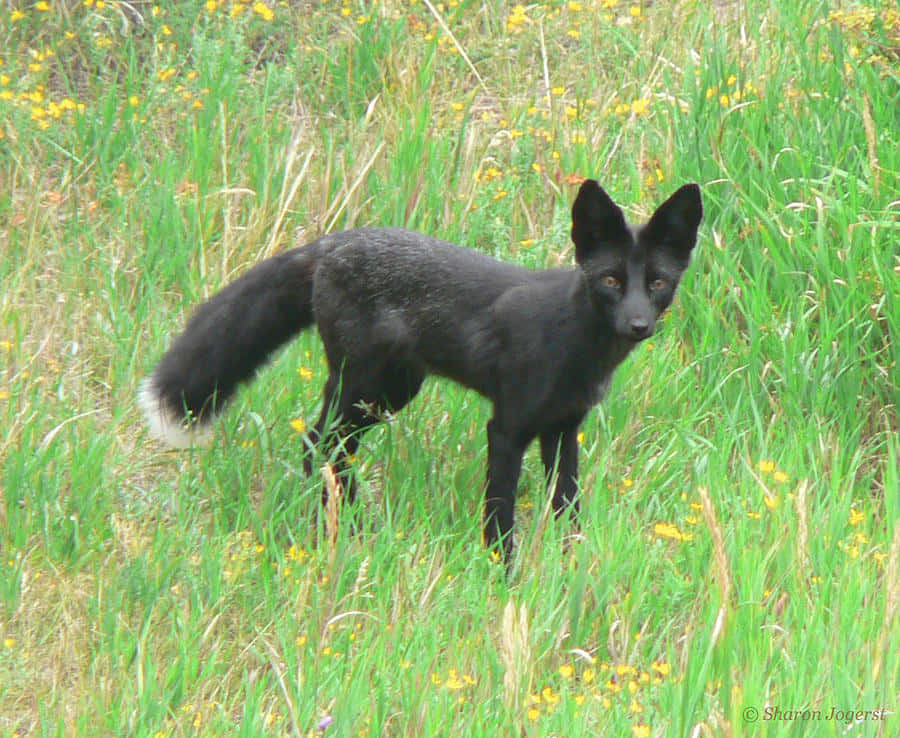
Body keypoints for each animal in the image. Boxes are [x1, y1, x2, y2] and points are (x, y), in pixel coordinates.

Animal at [141, 180, 704, 556]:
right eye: (610, 280)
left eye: (657, 283)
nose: (637, 325)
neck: (573, 345)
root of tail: (333, 241)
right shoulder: (507, 428)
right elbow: (499, 516)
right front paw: (503, 581)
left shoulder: (563, 430)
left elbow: (568, 509)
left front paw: (571, 567)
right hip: (365, 388)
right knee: (317, 444)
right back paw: (343, 528)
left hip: (387, 394)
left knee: (325, 449)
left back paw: (351, 524)